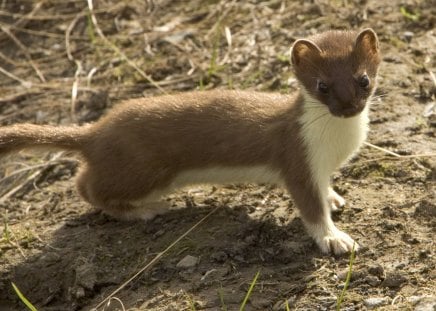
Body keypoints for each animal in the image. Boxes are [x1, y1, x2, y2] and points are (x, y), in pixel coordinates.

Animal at [0, 29, 382, 255]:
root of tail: (97, 129)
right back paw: (145, 210)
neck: (337, 145)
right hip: (143, 171)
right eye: (322, 85)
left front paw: (334, 198)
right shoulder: (297, 160)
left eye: (363, 79)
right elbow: (310, 208)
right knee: (86, 186)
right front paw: (336, 239)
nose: (349, 107)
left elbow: (325, 189)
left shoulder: (321, 167)